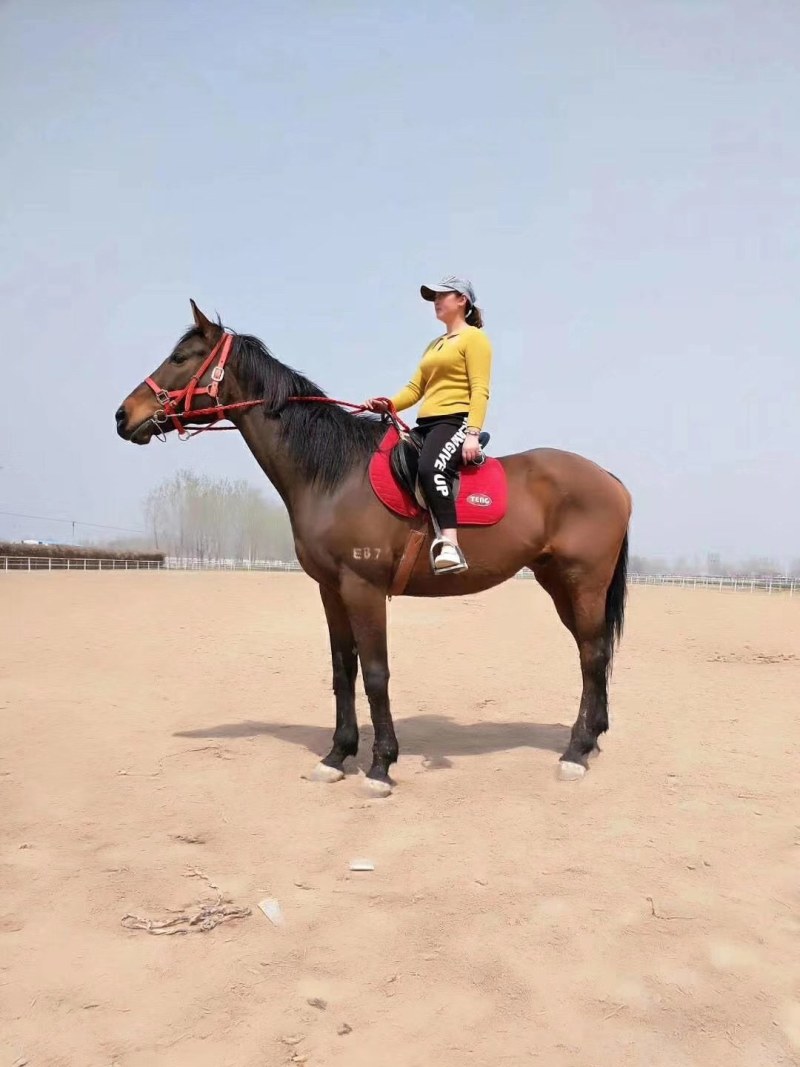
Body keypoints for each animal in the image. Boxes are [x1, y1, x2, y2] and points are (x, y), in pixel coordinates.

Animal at [115, 301, 632, 797]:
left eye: (181, 358)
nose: (123, 415)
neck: (336, 473)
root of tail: (609, 478)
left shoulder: (363, 588)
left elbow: (376, 672)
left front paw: (381, 765)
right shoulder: (330, 590)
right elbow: (343, 669)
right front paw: (337, 756)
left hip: (583, 581)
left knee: (592, 655)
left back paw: (575, 752)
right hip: (558, 582)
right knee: (592, 650)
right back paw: (592, 737)